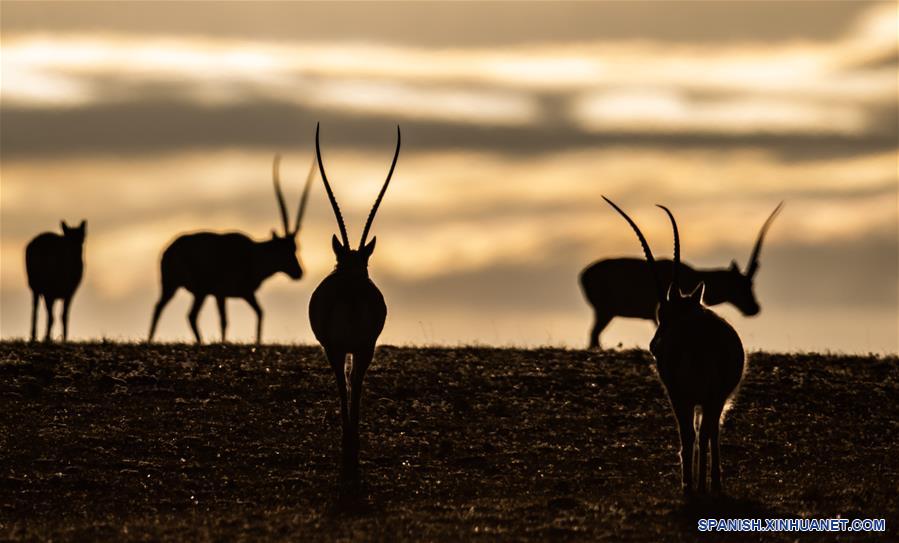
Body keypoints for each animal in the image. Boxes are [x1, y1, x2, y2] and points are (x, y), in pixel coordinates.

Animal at [149, 156, 316, 344]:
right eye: (283, 249)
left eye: (296, 247)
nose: (298, 273)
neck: (254, 254)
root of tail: (169, 250)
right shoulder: (232, 293)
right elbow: (234, 318)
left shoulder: (228, 295)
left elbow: (245, 316)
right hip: (199, 291)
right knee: (190, 315)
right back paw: (199, 342)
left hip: (172, 286)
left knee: (159, 307)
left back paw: (151, 339)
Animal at [312, 122, 402, 480]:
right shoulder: (355, 346)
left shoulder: (342, 347)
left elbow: (347, 383)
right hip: (357, 347)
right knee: (352, 380)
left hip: (349, 348)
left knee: (348, 380)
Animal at [580, 203, 784, 348]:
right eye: (741, 284)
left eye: (751, 284)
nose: (754, 308)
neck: (693, 276)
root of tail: (584, 274)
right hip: (604, 311)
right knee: (594, 336)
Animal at [604, 199, 744, 498]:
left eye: (663, 313)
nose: (653, 346)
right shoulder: (713, 398)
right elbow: (710, 432)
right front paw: (713, 483)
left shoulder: (680, 394)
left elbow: (692, 433)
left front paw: (691, 484)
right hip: (710, 397)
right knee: (707, 432)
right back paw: (705, 485)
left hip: (687, 396)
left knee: (694, 434)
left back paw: (692, 486)